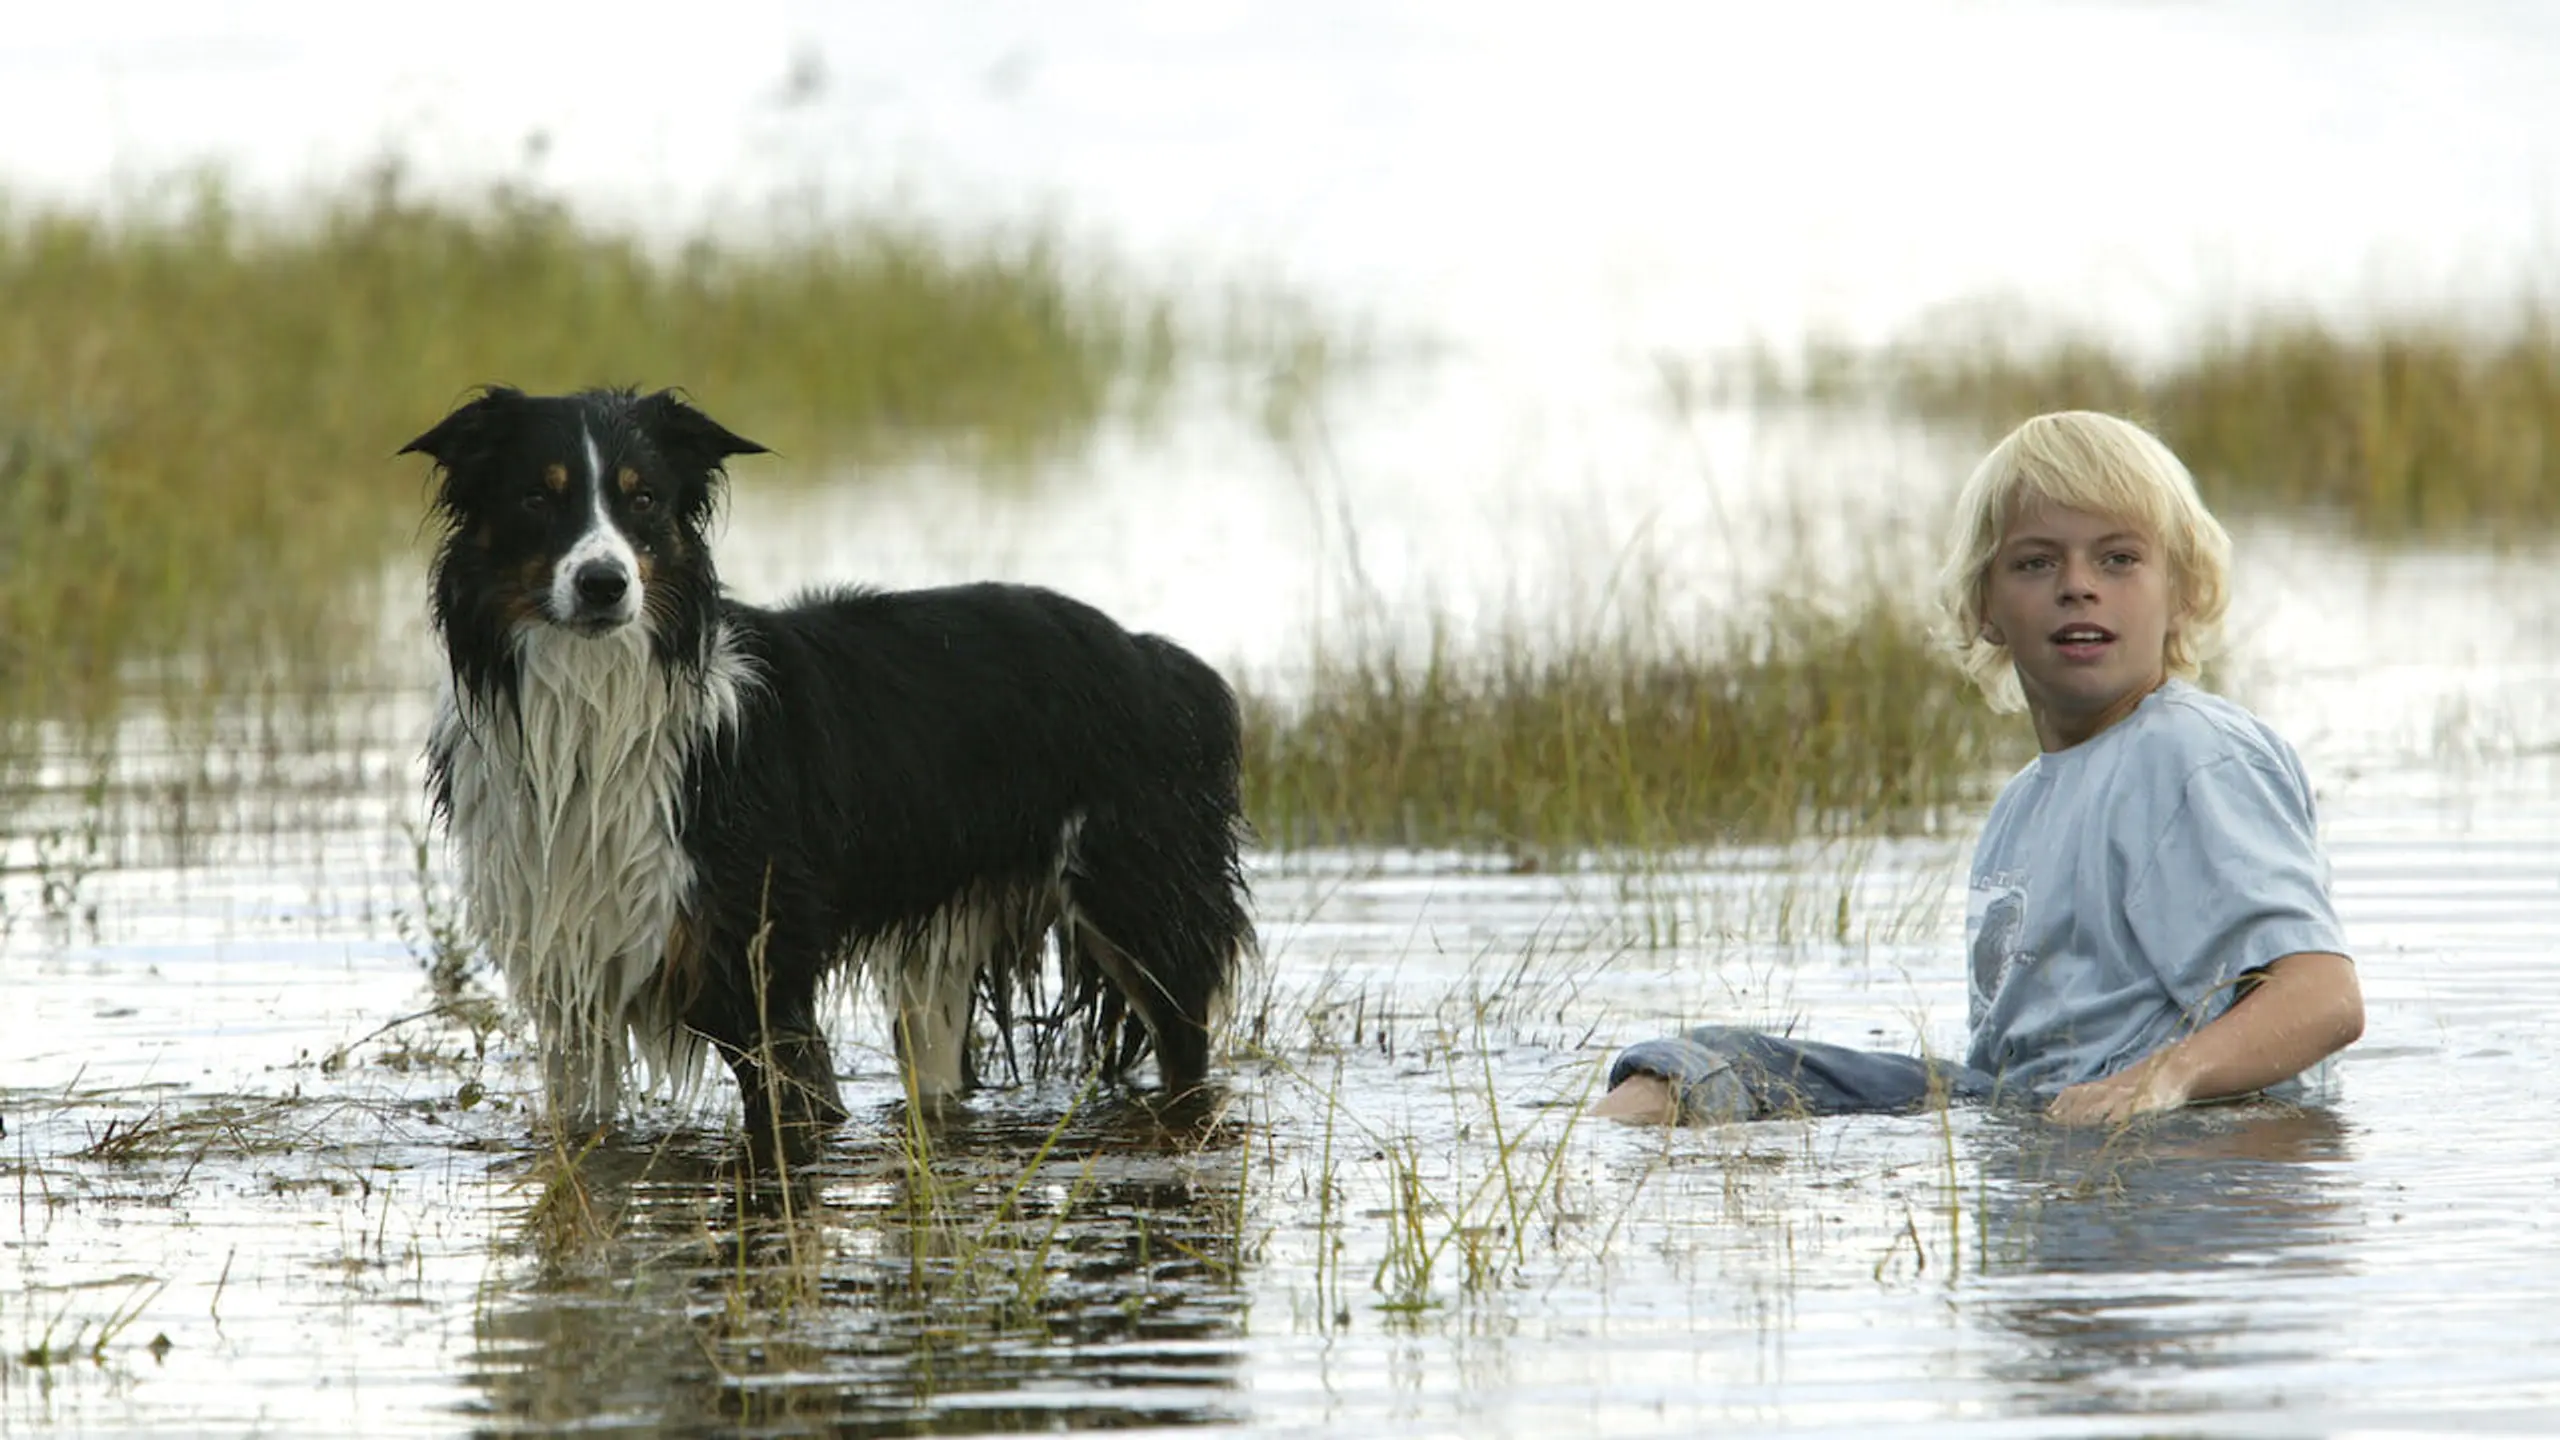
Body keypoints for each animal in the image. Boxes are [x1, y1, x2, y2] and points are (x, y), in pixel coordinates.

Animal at [401, 386, 1259, 1147]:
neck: (595, 702)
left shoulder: (762, 975)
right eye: (535, 499)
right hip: (943, 955)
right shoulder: (572, 983)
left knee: (1188, 1054)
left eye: (642, 500)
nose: (604, 584)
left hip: (1144, 910)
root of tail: (1158, 656)